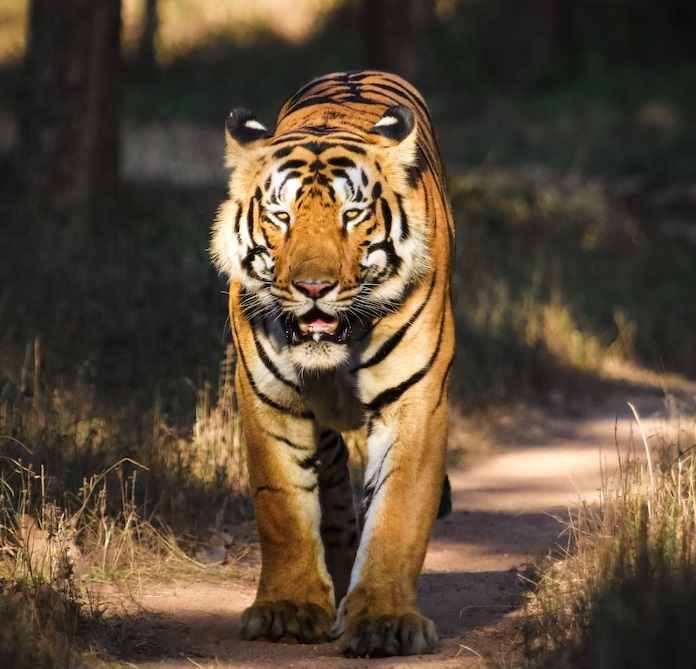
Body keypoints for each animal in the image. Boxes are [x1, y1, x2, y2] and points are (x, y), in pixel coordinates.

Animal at [209, 70, 454, 656]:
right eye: (281, 216)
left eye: (352, 215)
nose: (314, 287)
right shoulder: (268, 397)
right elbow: (281, 506)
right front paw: (288, 609)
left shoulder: (415, 400)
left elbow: (398, 512)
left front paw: (386, 622)